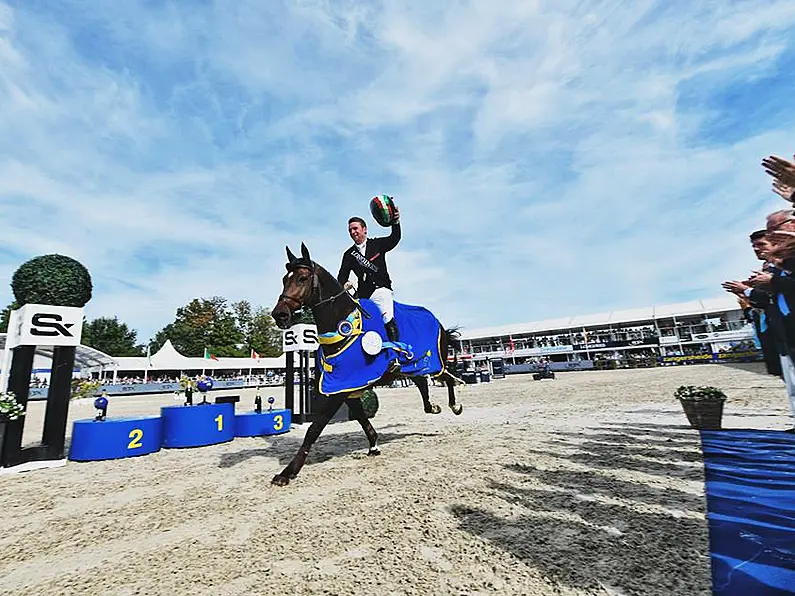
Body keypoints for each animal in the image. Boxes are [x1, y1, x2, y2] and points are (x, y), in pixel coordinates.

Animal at [270, 244, 464, 486]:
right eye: (283, 279)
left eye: (302, 278)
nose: (279, 314)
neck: (344, 325)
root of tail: (437, 321)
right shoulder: (347, 385)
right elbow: (362, 418)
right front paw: (373, 445)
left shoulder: (340, 389)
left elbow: (314, 429)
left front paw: (288, 472)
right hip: (414, 367)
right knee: (422, 383)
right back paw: (433, 407)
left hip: (433, 364)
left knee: (447, 378)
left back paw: (455, 406)